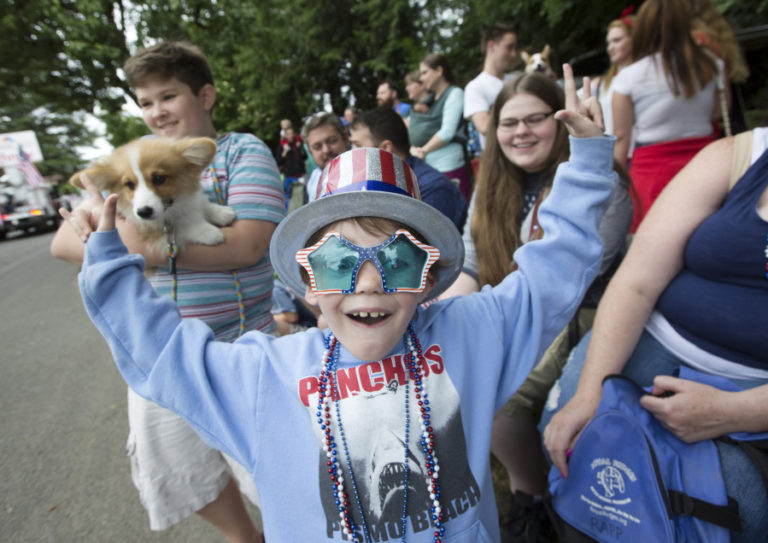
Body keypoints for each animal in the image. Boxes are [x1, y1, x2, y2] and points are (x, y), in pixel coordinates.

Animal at [70, 138, 236, 253]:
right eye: (129, 184)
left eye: (159, 178)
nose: (143, 212)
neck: (170, 211)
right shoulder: (149, 231)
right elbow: (183, 226)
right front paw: (208, 231)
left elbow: (200, 203)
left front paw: (221, 212)